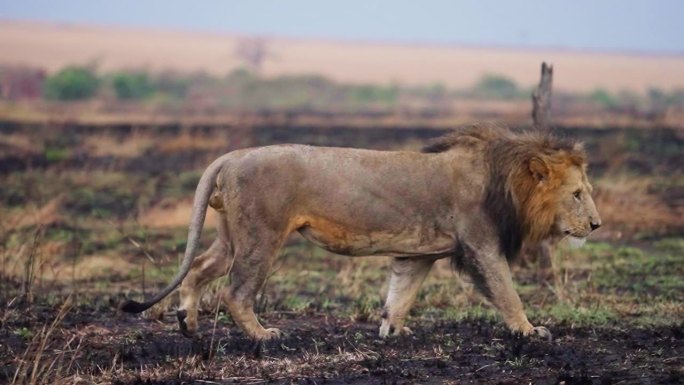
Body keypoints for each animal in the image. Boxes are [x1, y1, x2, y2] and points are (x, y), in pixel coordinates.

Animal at [120, 122, 600, 340]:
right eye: (577, 194)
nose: (597, 224)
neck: (506, 180)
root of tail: (232, 155)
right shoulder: (481, 245)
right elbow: (506, 291)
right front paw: (530, 331)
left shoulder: (418, 254)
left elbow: (400, 294)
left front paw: (393, 332)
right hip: (262, 234)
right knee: (236, 292)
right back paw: (262, 336)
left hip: (229, 235)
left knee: (200, 268)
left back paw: (188, 324)